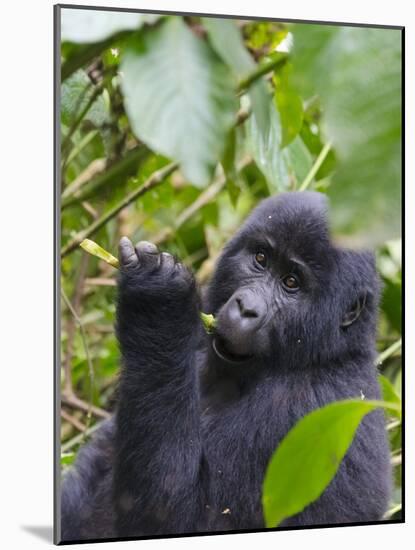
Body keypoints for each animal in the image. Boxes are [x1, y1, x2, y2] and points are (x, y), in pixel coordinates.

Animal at [60, 193, 392, 544]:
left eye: (291, 283)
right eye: (261, 259)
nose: (246, 308)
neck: (326, 352)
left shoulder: (305, 408)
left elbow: (176, 518)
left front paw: (156, 302)